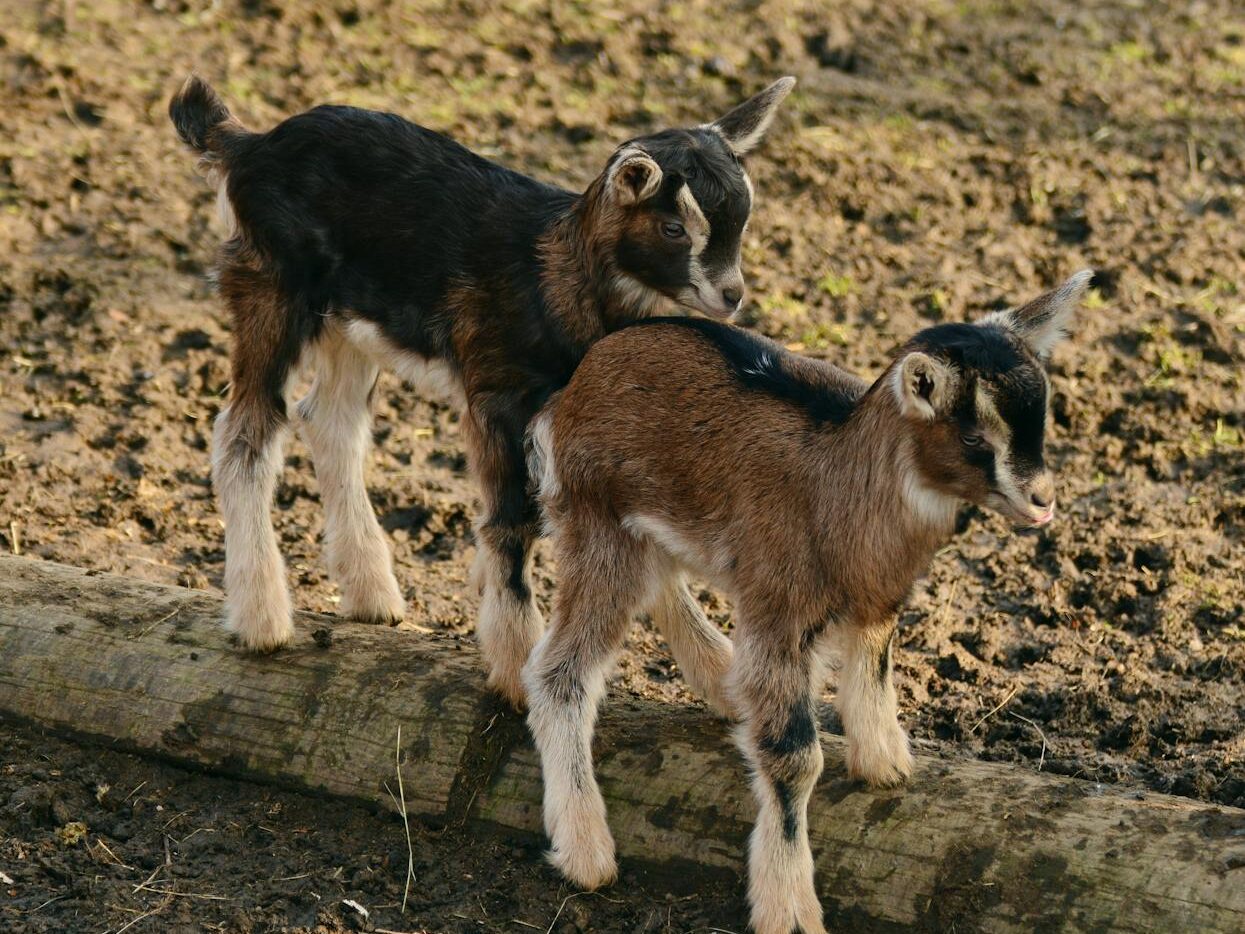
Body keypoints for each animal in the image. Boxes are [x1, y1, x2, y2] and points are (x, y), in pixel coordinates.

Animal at [168, 74, 795, 706]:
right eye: (674, 228)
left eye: (742, 221)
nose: (731, 296)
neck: (553, 279)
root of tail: (248, 145)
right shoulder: (496, 395)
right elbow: (512, 521)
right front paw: (516, 667)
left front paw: (717, 675)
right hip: (270, 286)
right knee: (245, 433)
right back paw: (262, 620)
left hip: (351, 321)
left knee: (329, 421)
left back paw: (371, 594)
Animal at [522, 271, 1092, 934]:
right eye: (974, 434)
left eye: (1042, 421)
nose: (1042, 500)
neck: (838, 483)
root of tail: (574, 386)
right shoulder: (780, 612)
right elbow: (794, 756)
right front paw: (789, 908)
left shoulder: (877, 600)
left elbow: (874, 667)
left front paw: (885, 764)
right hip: (597, 522)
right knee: (559, 672)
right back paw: (586, 849)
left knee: (659, 582)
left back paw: (722, 682)